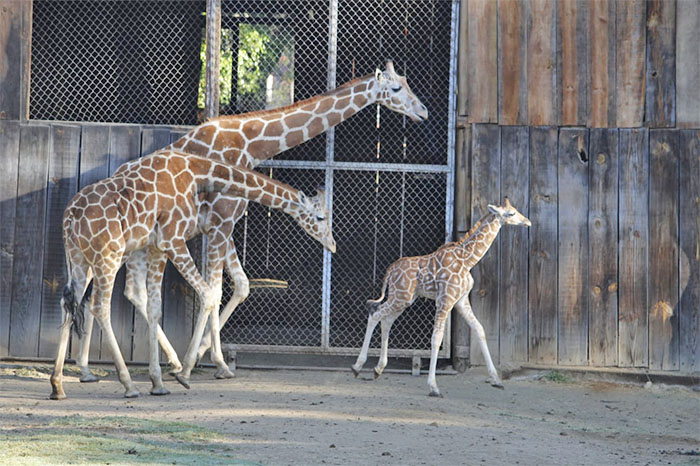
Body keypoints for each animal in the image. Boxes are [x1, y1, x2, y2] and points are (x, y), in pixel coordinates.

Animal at [50, 149, 335, 399]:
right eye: (320, 217)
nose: (332, 245)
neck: (197, 174)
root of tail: (70, 217)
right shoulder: (172, 240)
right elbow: (208, 294)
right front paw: (185, 371)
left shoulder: (156, 245)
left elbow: (156, 307)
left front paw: (159, 381)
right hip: (107, 255)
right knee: (100, 305)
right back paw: (127, 383)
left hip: (79, 258)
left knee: (69, 302)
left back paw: (58, 385)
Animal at [71, 60, 428, 386]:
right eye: (396, 88)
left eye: (408, 83)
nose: (424, 112)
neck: (250, 143)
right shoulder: (219, 224)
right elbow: (214, 290)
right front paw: (201, 362)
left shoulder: (225, 225)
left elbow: (238, 286)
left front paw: (207, 359)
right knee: (102, 290)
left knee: (109, 291)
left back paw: (102, 367)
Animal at [350, 198, 531, 397]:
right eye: (511, 213)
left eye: (515, 210)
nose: (528, 222)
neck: (467, 261)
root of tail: (389, 271)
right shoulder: (445, 300)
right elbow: (436, 338)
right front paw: (433, 387)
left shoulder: (461, 300)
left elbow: (479, 329)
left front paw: (496, 380)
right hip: (400, 297)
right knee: (375, 314)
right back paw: (357, 367)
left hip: (403, 299)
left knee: (386, 320)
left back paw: (378, 369)